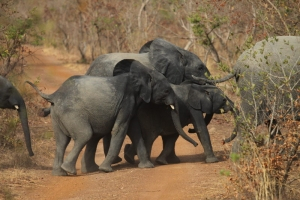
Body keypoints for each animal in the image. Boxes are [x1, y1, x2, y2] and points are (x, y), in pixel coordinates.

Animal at [25, 60, 197, 176]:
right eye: (167, 91)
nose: (195, 144)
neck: (142, 74)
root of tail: (54, 95)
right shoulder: (126, 101)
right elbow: (119, 130)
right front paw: (105, 170)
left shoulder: (131, 106)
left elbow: (134, 131)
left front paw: (147, 167)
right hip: (72, 112)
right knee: (84, 135)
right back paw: (70, 171)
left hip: (57, 115)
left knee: (61, 141)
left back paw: (60, 173)